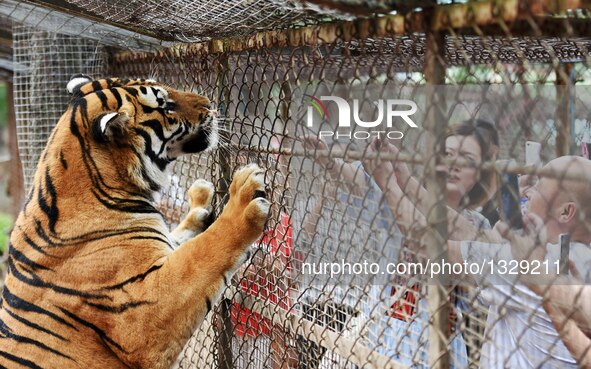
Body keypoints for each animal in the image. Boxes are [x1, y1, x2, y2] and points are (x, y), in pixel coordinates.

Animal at [0, 75, 272, 368]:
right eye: (166, 105)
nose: (210, 104)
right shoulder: (144, 312)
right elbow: (203, 251)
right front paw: (243, 196)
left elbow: (181, 239)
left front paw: (199, 201)